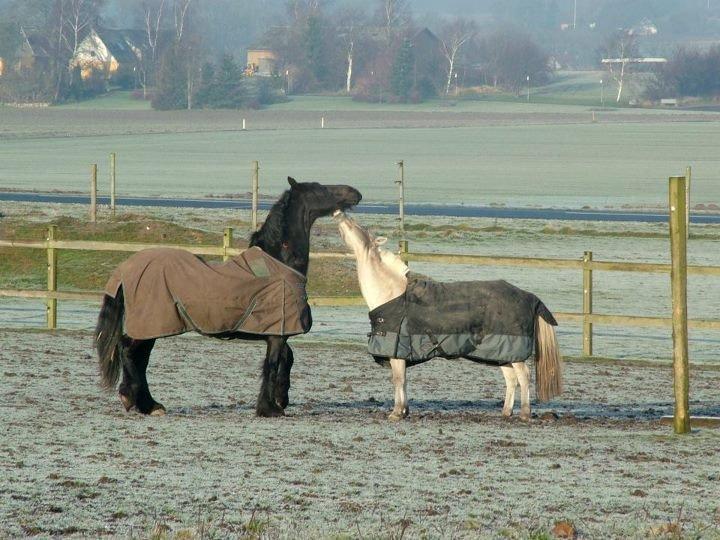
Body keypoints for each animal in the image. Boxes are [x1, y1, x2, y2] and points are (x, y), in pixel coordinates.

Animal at [95, 177, 360, 418]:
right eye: (321, 188)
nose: (355, 192)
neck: (278, 262)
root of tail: (126, 268)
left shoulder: (277, 331)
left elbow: (287, 358)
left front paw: (280, 398)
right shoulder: (277, 332)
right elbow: (273, 363)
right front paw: (269, 408)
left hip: (152, 328)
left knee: (139, 358)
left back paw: (145, 403)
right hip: (150, 325)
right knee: (129, 352)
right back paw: (138, 401)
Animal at [334, 212, 564, 422]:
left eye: (360, 227)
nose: (339, 214)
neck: (391, 293)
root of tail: (528, 296)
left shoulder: (397, 352)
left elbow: (398, 379)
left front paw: (397, 412)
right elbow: (404, 380)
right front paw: (404, 410)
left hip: (513, 353)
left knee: (523, 376)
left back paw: (525, 413)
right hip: (502, 353)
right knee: (511, 379)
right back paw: (506, 412)